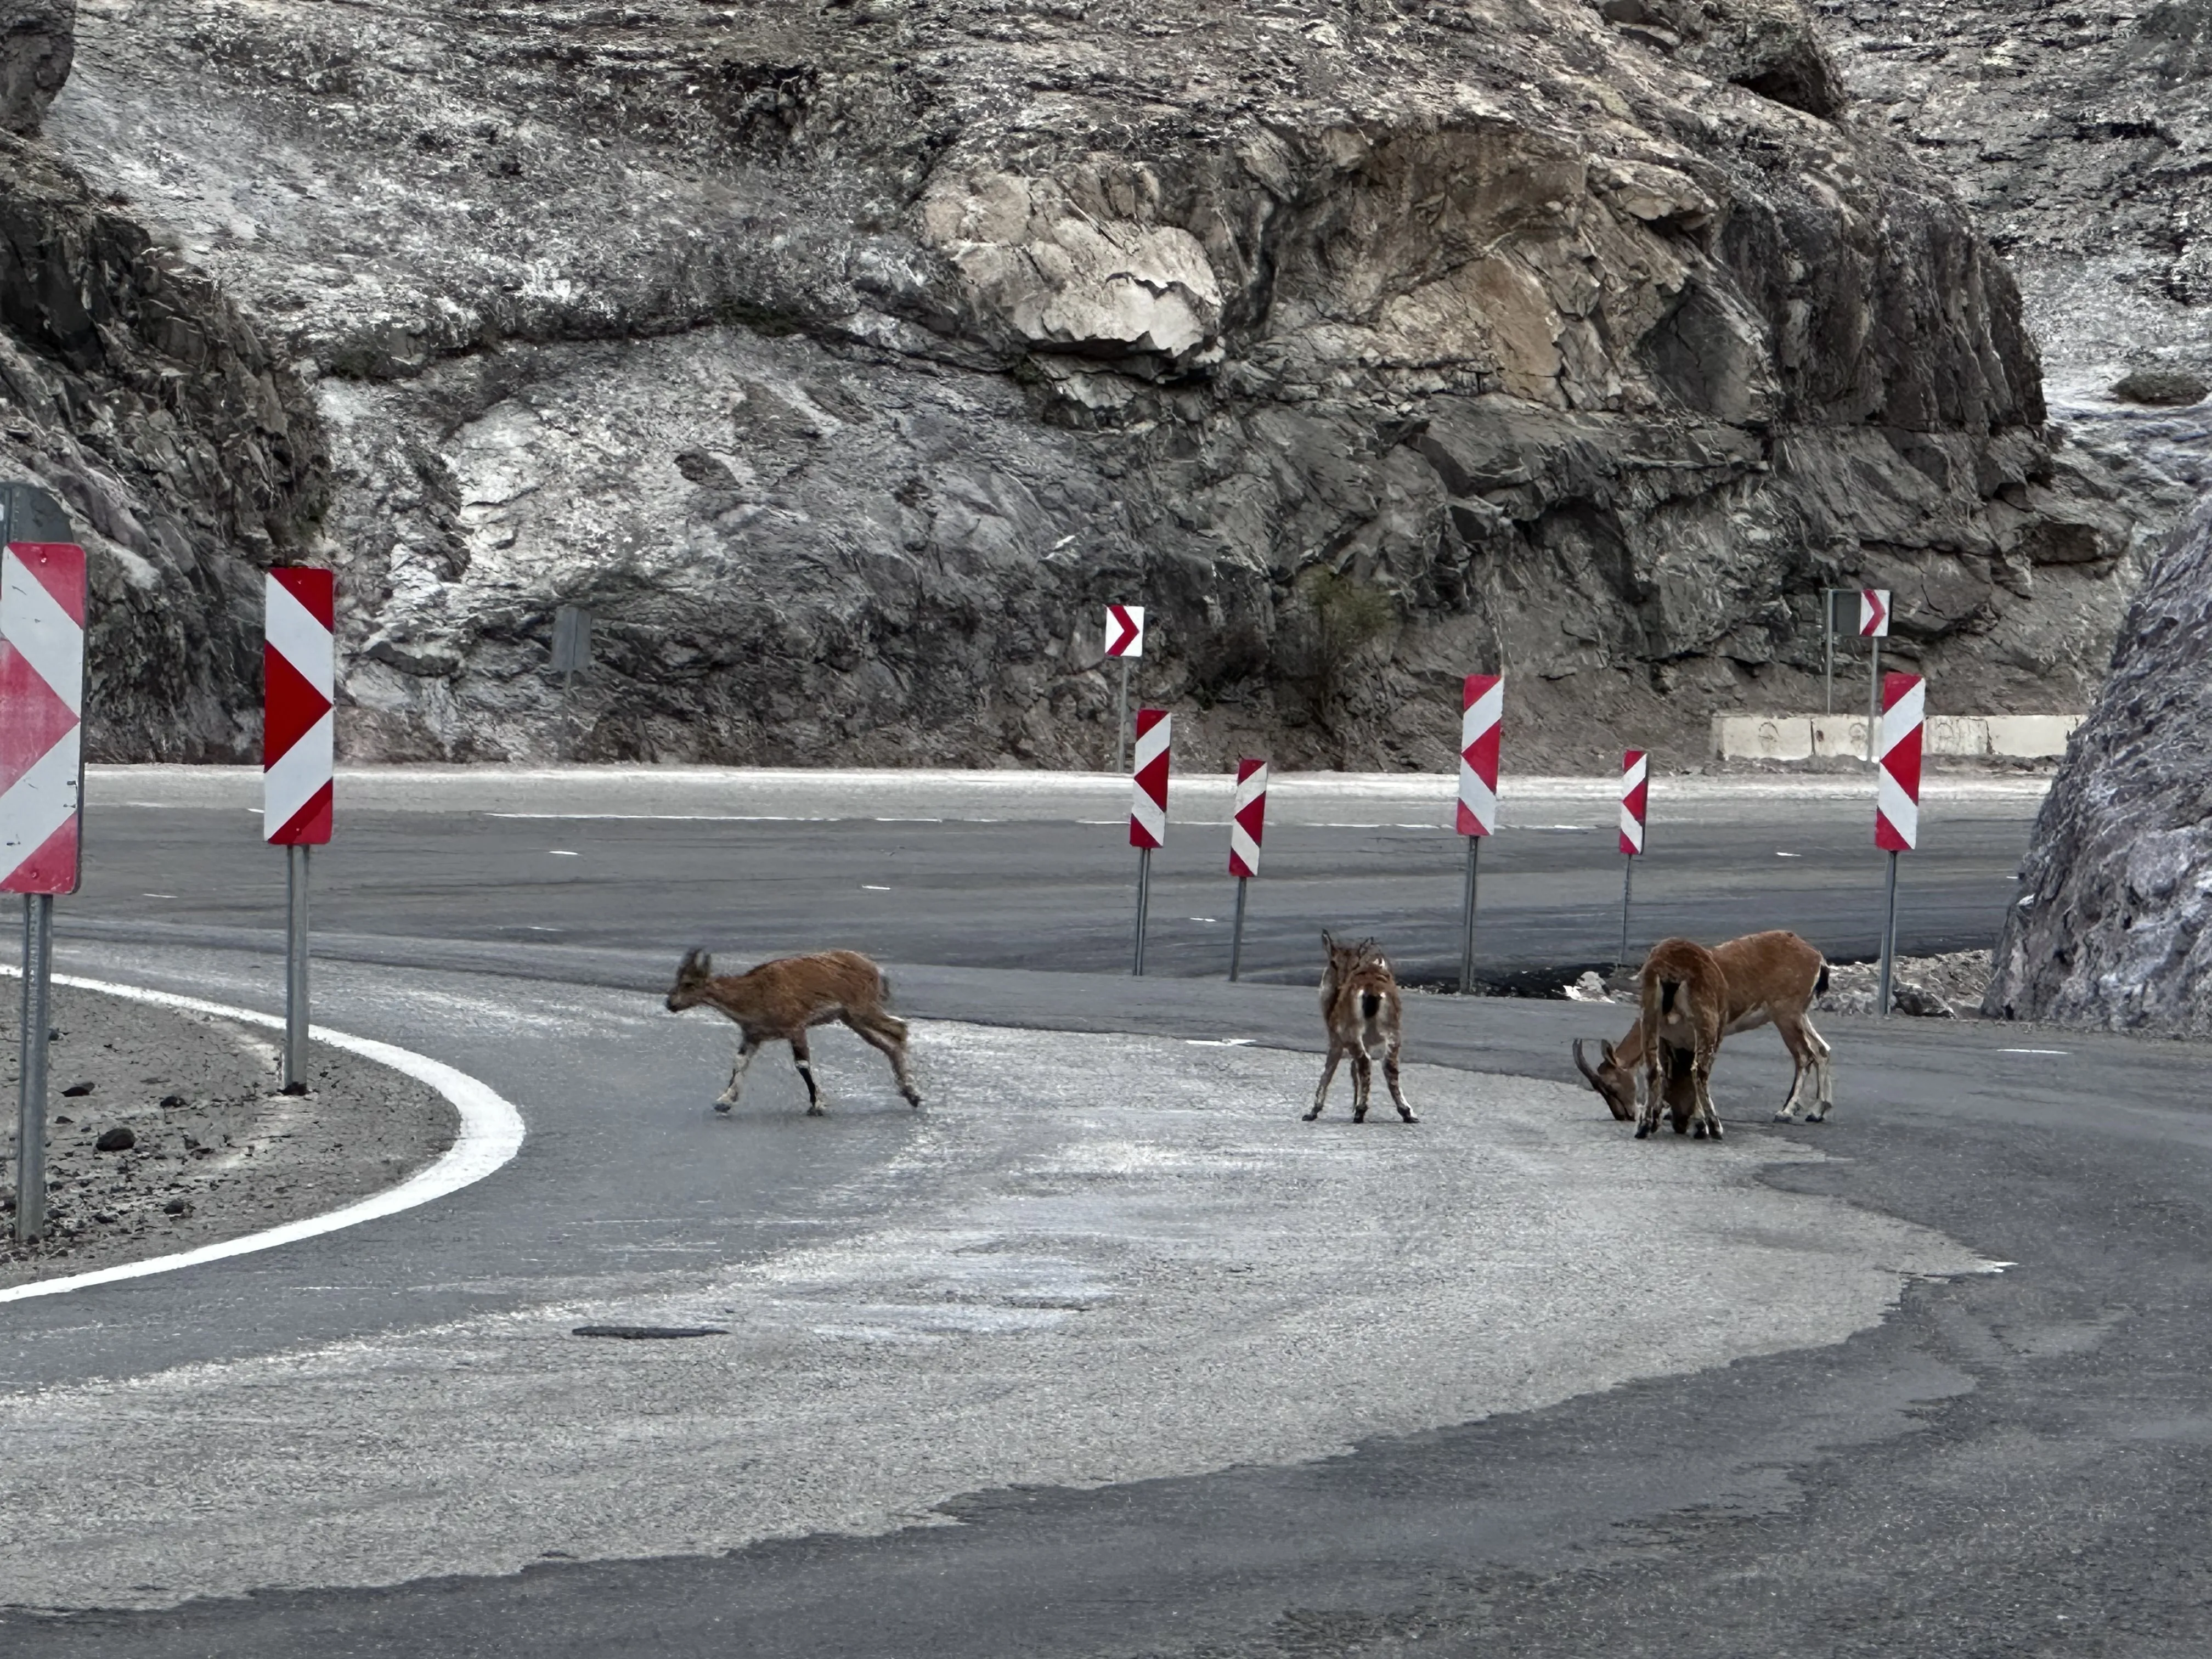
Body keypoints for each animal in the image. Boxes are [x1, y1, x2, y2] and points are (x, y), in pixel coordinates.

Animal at [663, 946, 924, 1119]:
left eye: (688, 984)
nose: (670, 1003)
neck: (752, 995)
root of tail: (877, 970)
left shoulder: (795, 1027)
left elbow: (802, 1064)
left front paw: (817, 1105)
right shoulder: (753, 1034)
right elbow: (740, 1061)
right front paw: (724, 1101)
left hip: (862, 1009)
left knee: (899, 1029)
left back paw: (914, 1092)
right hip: (852, 1019)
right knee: (889, 1042)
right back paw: (909, 1093)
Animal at [1291, 938, 1415, 1132]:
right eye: (1334, 962)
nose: (1340, 984)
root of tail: (1372, 990)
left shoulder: (1335, 1037)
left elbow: (1328, 1070)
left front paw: (1312, 1112)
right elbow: (1352, 1068)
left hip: (1351, 1029)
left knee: (1365, 1061)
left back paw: (1360, 1111)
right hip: (1393, 1028)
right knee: (1389, 1064)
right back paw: (1406, 1113)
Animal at [1575, 938, 1831, 1132]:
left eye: (1611, 1086)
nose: (1625, 1115)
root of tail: (1818, 958)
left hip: (1786, 1014)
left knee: (1804, 1055)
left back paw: (1786, 1112)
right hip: (1798, 1014)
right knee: (1822, 1050)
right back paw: (1817, 1111)